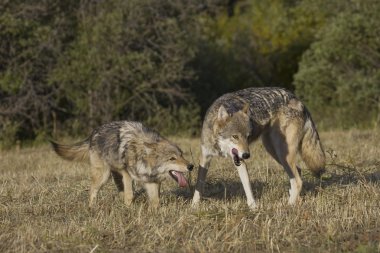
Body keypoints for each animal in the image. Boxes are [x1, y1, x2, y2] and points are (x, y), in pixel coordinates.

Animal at [50, 121, 193, 209]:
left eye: (182, 155)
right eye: (172, 158)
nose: (191, 166)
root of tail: (93, 133)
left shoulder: (152, 181)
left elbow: (155, 200)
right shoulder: (128, 174)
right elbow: (130, 195)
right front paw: (129, 210)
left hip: (116, 177)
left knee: (119, 192)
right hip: (103, 176)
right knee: (93, 191)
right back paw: (92, 208)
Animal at [191, 87, 326, 210]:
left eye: (248, 136)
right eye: (235, 136)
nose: (247, 155)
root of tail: (296, 99)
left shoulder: (240, 162)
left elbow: (248, 188)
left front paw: (253, 208)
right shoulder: (205, 158)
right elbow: (199, 185)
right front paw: (194, 206)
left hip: (282, 153)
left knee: (298, 180)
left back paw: (288, 205)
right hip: (275, 151)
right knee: (298, 172)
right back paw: (295, 200)